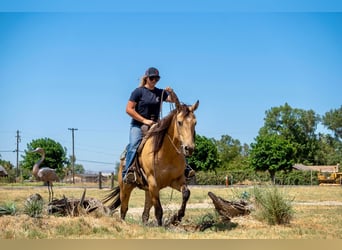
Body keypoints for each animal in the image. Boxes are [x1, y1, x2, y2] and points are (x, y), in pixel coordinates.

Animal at [103, 90, 199, 227]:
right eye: (180, 122)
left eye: (195, 123)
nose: (189, 148)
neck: (166, 153)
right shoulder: (153, 182)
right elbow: (158, 209)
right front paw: (161, 225)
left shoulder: (176, 180)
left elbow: (186, 193)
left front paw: (177, 217)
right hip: (126, 187)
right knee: (124, 208)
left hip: (147, 189)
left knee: (145, 213)